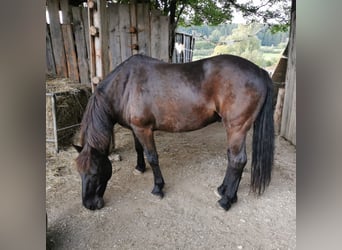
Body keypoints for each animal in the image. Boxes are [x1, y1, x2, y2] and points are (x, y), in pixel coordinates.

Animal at [73, 54, 274, 211]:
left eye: (95, 172)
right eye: (79, 173)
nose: (89, 205)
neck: (125, 85)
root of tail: (260, 71)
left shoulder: (144, 129)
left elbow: (152, 157)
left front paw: (158, 188)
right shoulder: (136, 128)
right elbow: (139, 149)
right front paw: (139, 168)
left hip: (236, 128)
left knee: (238, 160)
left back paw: (226, 201)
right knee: (232, 159)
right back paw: (223, 190)